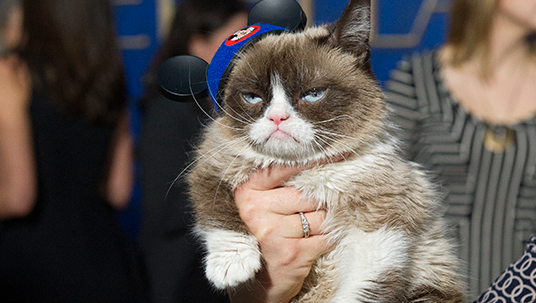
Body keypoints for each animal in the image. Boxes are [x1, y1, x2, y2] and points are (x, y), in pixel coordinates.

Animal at [186, 0, 466, 302]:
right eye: (252, 97)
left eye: (313, 94)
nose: (277, 118)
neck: (304, 170)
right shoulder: (213, 165)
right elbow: (217, 211)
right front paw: (232, 265)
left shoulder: (377, 224)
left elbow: (362, 287)